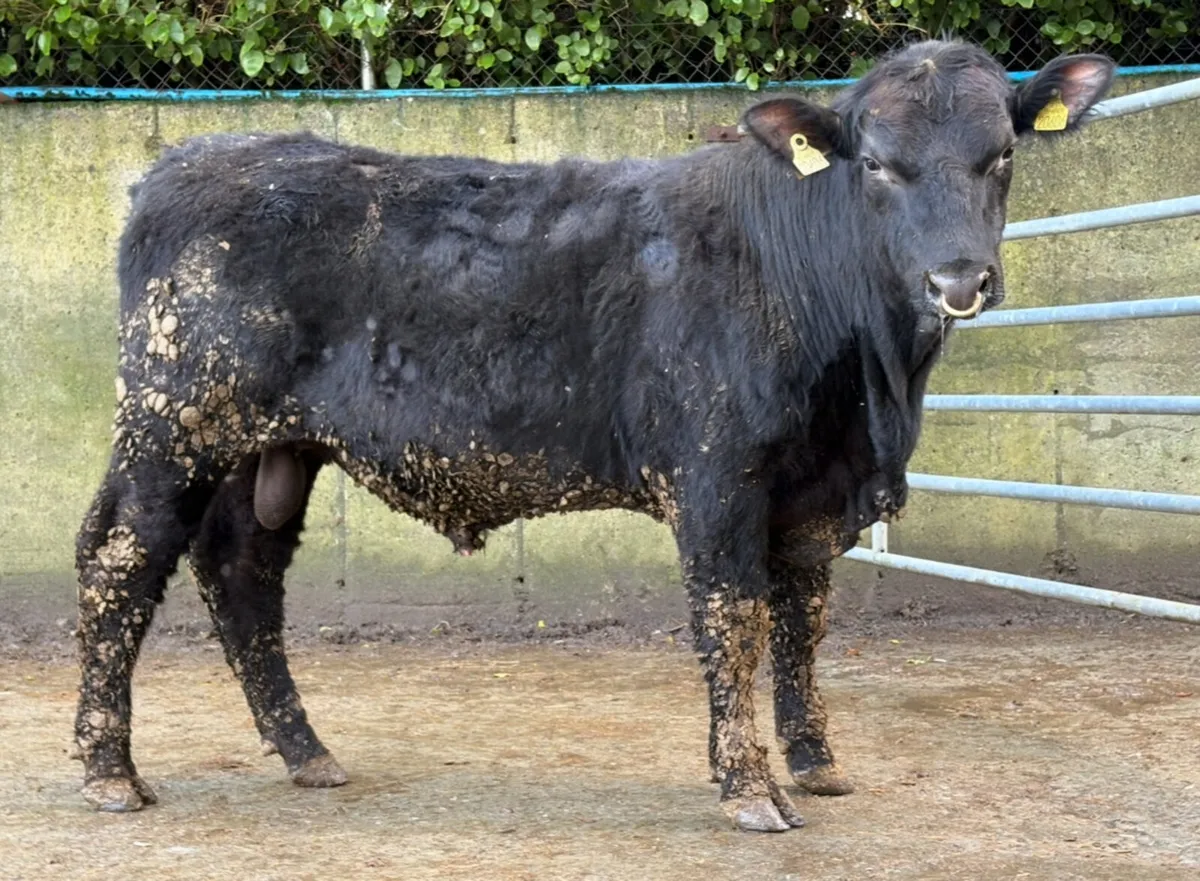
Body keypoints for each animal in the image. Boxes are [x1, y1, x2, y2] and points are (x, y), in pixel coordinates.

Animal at [71, 40, 1114, 831]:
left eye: (1001, 156)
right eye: (877, 164)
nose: (959, 280)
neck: (868, 392)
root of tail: (186, 160)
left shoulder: (816, 495)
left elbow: (805, 621)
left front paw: (816, 761)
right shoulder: (716, 478)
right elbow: (736, 619)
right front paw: (750, 788)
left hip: (268, 450)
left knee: (241, 572)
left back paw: (307, 751)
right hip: (172, 426)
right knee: (119, 557)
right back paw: (109, 770)